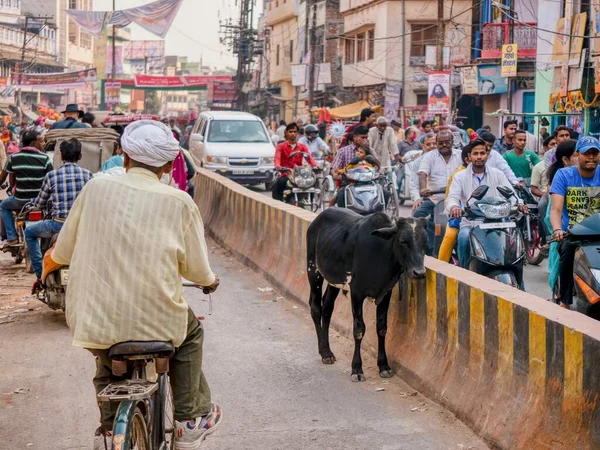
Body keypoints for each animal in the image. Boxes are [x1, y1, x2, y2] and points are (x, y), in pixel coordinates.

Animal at [308, 209, 428, 382]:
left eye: (425, 241)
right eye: (403, 241)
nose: (419, 272)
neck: (381, 253)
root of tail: (318, 219)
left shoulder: (386, 293)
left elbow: (381, 328)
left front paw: (384, 366)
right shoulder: (357, 293)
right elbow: (359, 330)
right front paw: (357, 368)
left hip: (334, 281)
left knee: (327, 308)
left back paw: (328, 351)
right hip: (313, 271)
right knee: (316, 307)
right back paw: (324, 352)